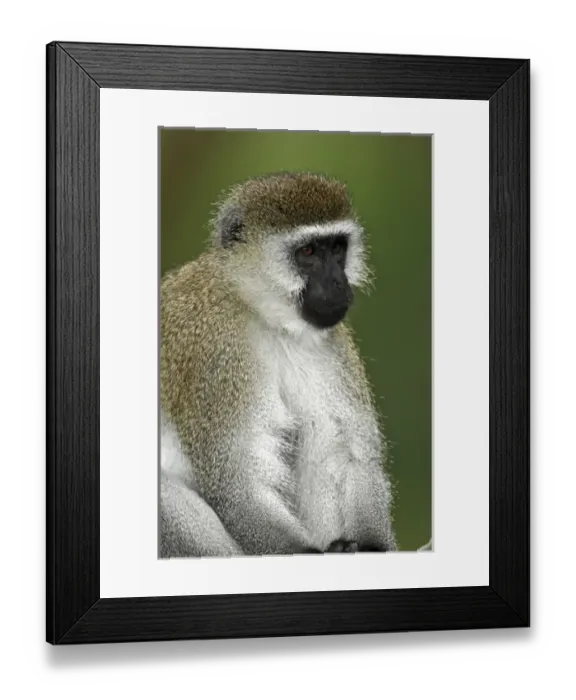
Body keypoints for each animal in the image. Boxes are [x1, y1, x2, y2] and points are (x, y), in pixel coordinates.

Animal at [160, 171, 397, 557]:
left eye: (337, 248)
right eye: (308, 252)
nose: (338, 282)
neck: (263, 314)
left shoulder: (333, 345)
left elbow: (342, 452)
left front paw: (371, 545)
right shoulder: (219, 356)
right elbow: (239, 483)